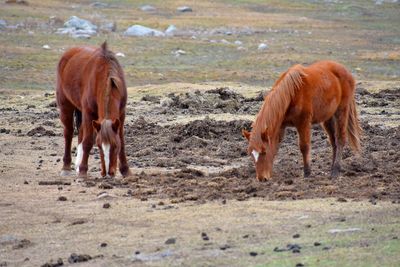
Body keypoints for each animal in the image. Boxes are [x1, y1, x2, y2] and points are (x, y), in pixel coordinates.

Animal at [56, 42, 130, 179]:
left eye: (115, 146)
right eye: (99, 146)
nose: (108, 173)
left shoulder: (121, 114)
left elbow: (122, 141)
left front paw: (126, 170)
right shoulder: (88, 113)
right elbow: (88, 142)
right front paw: (83, 171)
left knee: (80, 132)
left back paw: (77, 165)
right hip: (65, 106)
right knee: (68, 133)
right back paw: (66, 167)